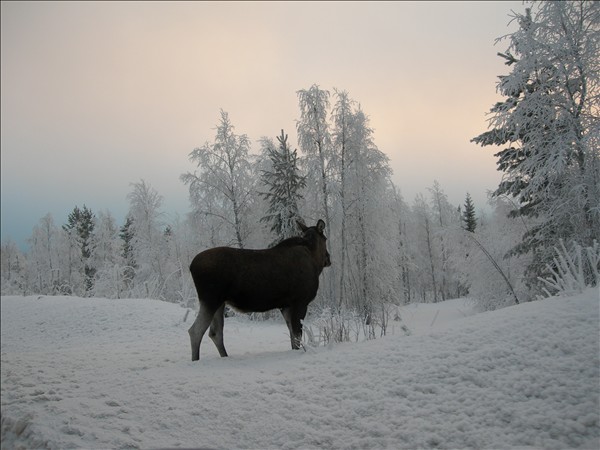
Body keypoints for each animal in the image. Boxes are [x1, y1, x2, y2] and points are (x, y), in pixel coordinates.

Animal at [188, 219, 330, 362]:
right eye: (325, 239)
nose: (328, 258)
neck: (315, 260)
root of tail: (191, 266)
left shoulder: (285, 306)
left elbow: (292, 337)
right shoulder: (300, 302)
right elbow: (297, 336)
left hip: (219, 303)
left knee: (215, 332)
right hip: (210, 299)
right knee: (195, 331)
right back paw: (196, 360)